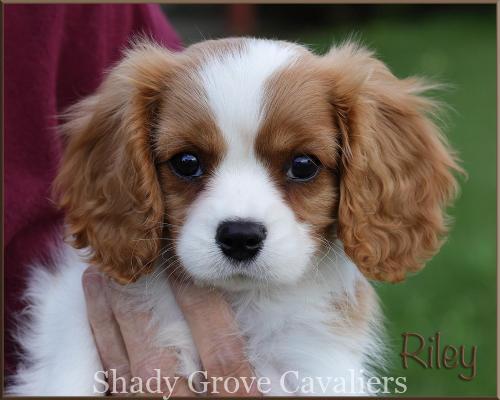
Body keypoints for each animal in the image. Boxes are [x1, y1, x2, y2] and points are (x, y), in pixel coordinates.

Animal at [8, 38, 460, 396]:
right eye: (187, 162)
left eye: (303, 165)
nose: (240, 236)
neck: (239, 300)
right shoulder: (71, 325)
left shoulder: (313, 366)